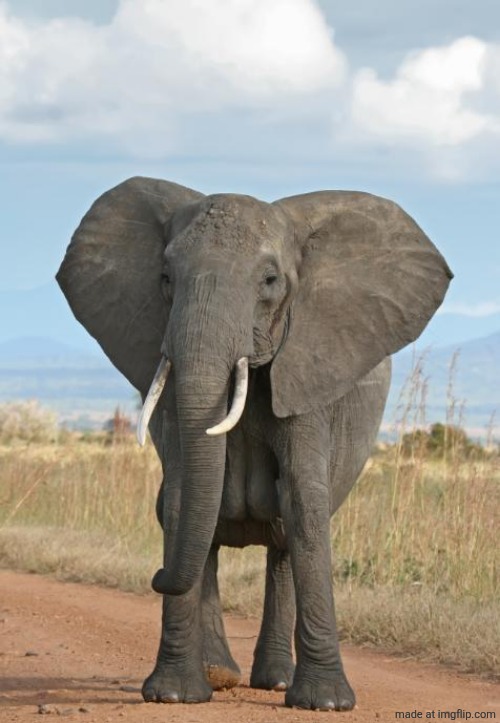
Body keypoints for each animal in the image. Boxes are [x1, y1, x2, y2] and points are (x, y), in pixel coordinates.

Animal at [57, 177, 452, 711]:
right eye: (165, 277)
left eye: (269, 281)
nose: (155, 577)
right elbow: (181, 498)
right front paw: (173, 695)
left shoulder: (309, 366)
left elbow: (304, 500)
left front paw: (326, 703)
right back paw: (219, 674)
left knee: (284, 536)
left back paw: (276, 682)